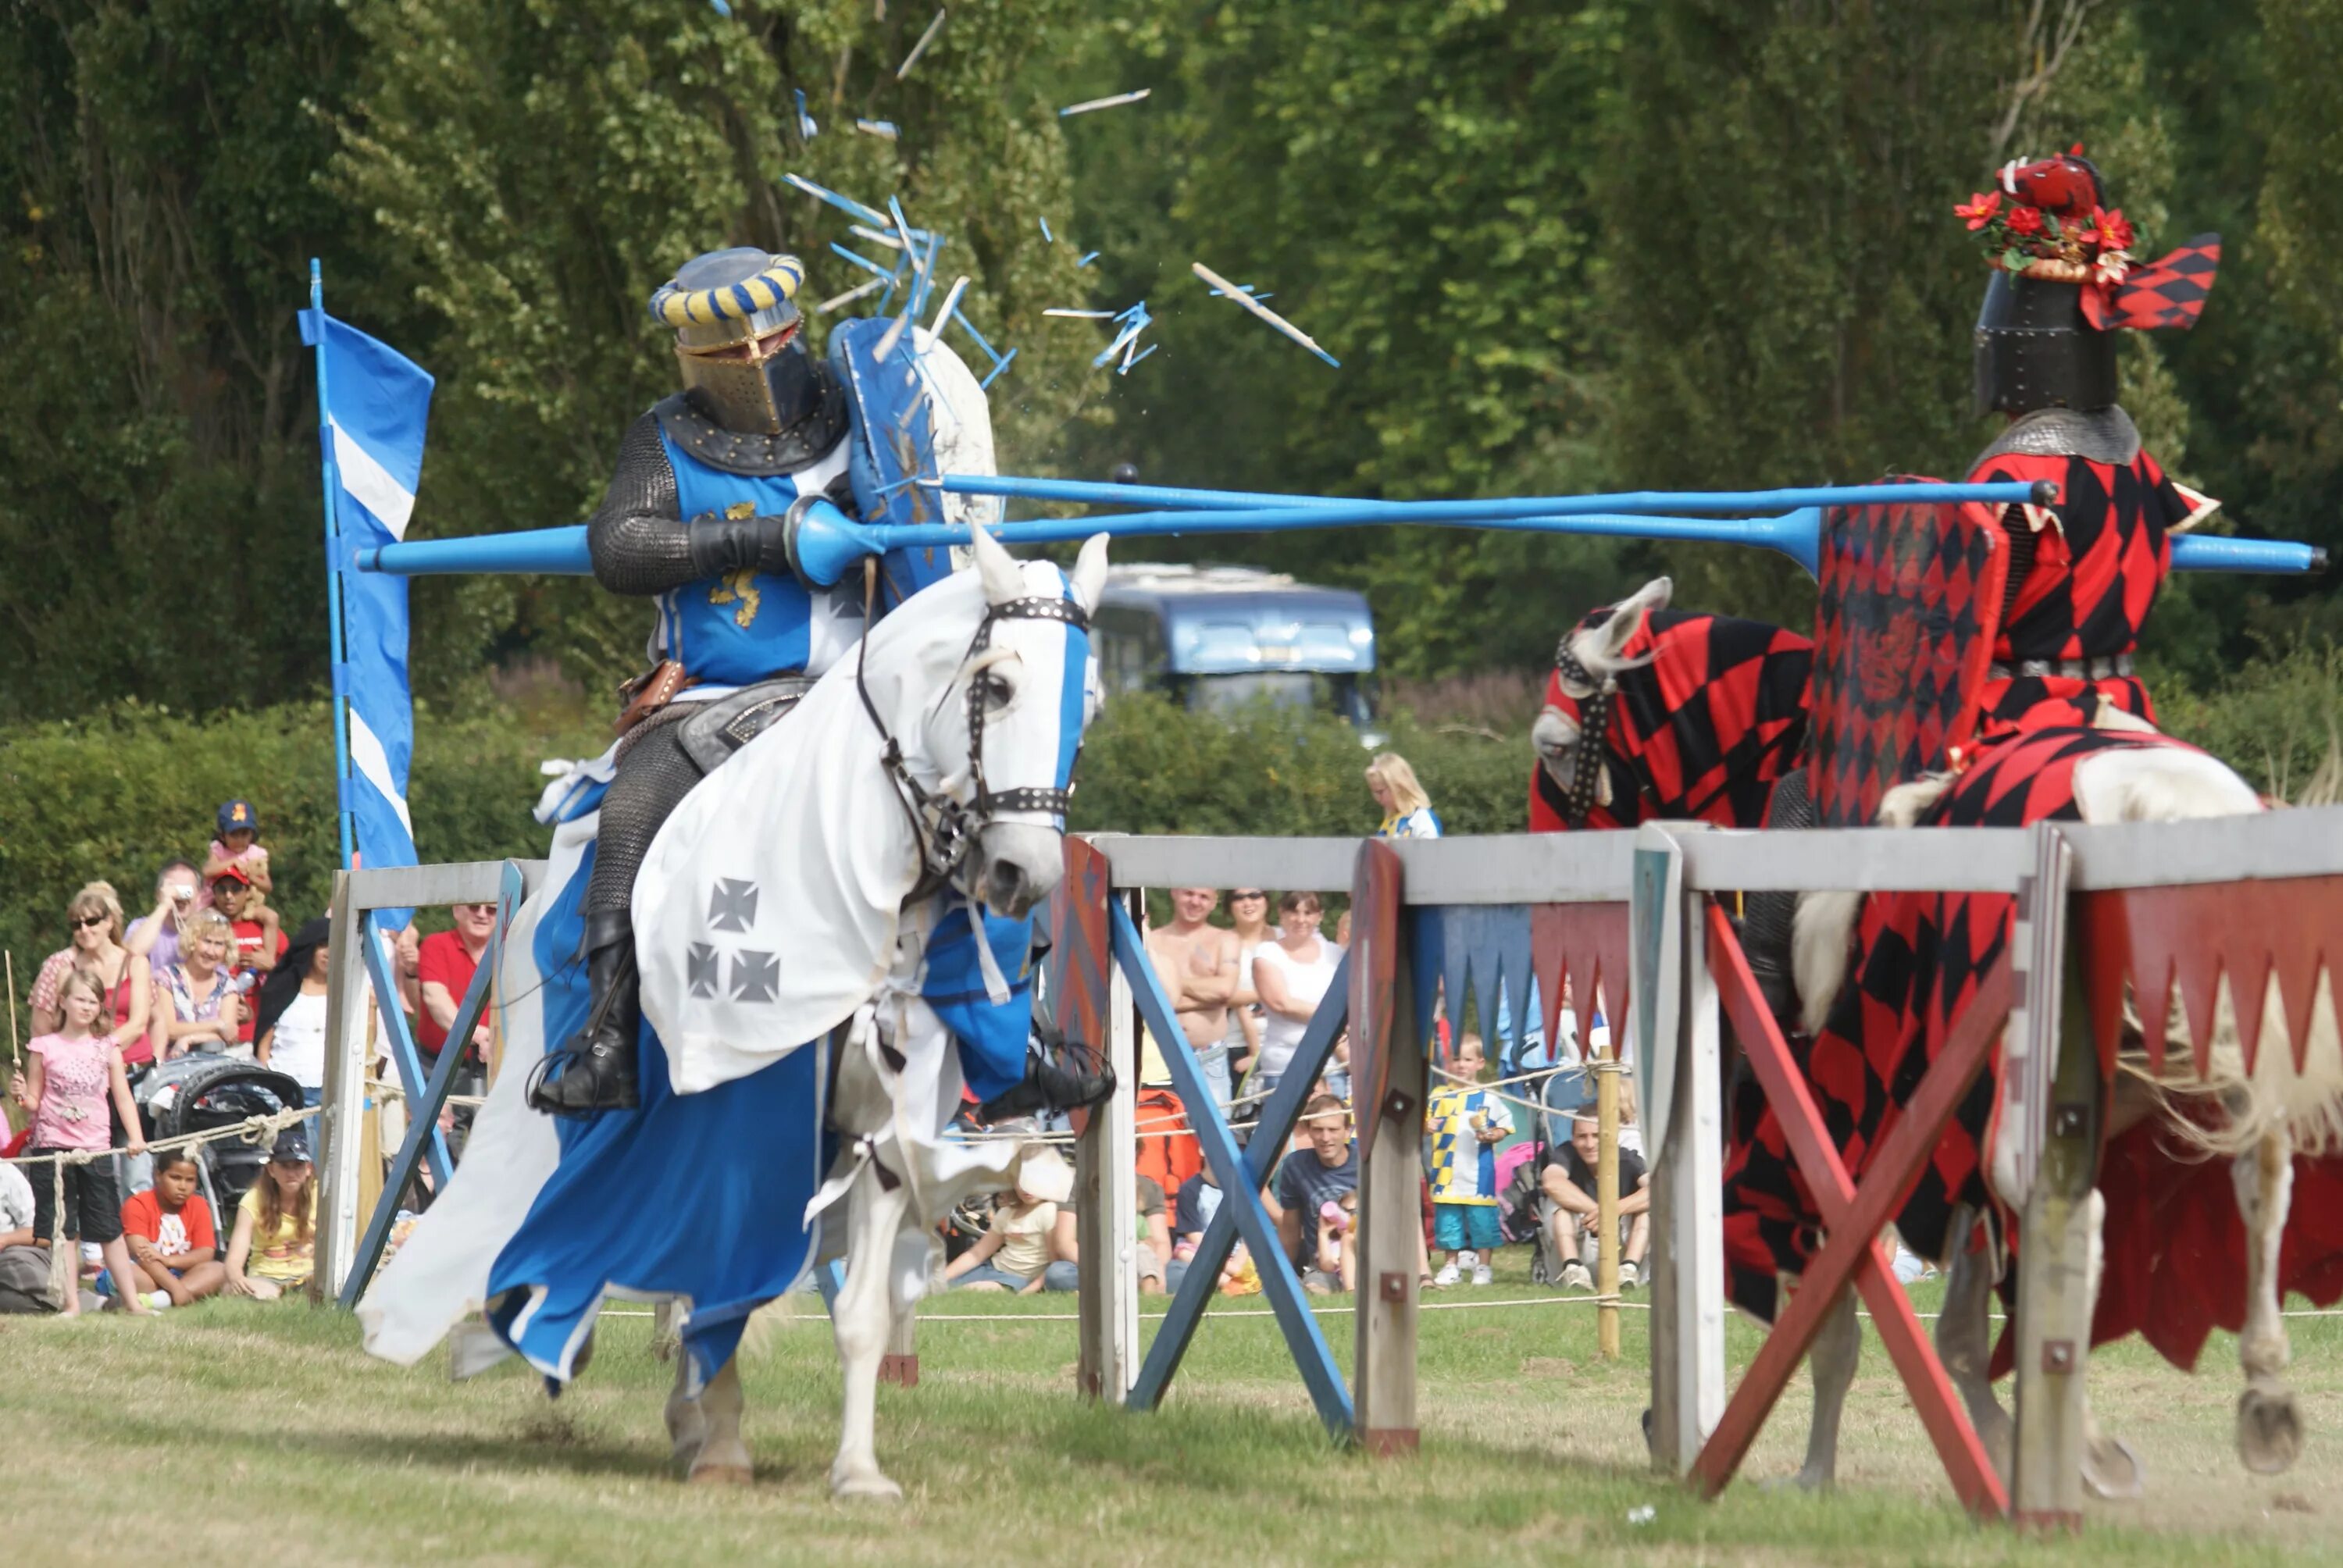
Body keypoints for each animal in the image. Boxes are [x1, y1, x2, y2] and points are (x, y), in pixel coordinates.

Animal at [363, 529, 1106, 1499]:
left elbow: (857, 1312)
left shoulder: (882, 1130)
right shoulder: (730, 1117)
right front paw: (718, 1439)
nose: (1025, 873)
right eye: (1000, 686)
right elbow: (708, 1266)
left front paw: (856, 1471)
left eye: (1085, 706)